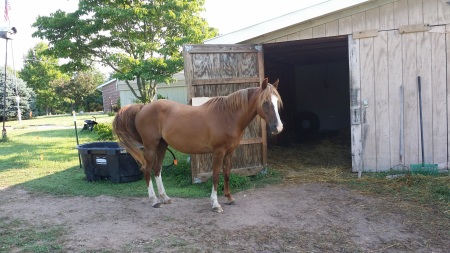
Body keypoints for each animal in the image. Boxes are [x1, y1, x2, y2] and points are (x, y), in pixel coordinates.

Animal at [113, 78, 282, 212]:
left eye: (277, 102)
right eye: (265, 102)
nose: (278, 128)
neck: (228, 116)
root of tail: (143, 107)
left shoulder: (230, 152)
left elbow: (227, 174)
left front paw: (229, 198)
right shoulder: (218, 152)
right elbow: (215, 176)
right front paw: (215, 204)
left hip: (161, 146)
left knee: (157, 170)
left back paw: (165, 197)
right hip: (150, 147)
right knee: (147, 170)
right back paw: (154, 201)